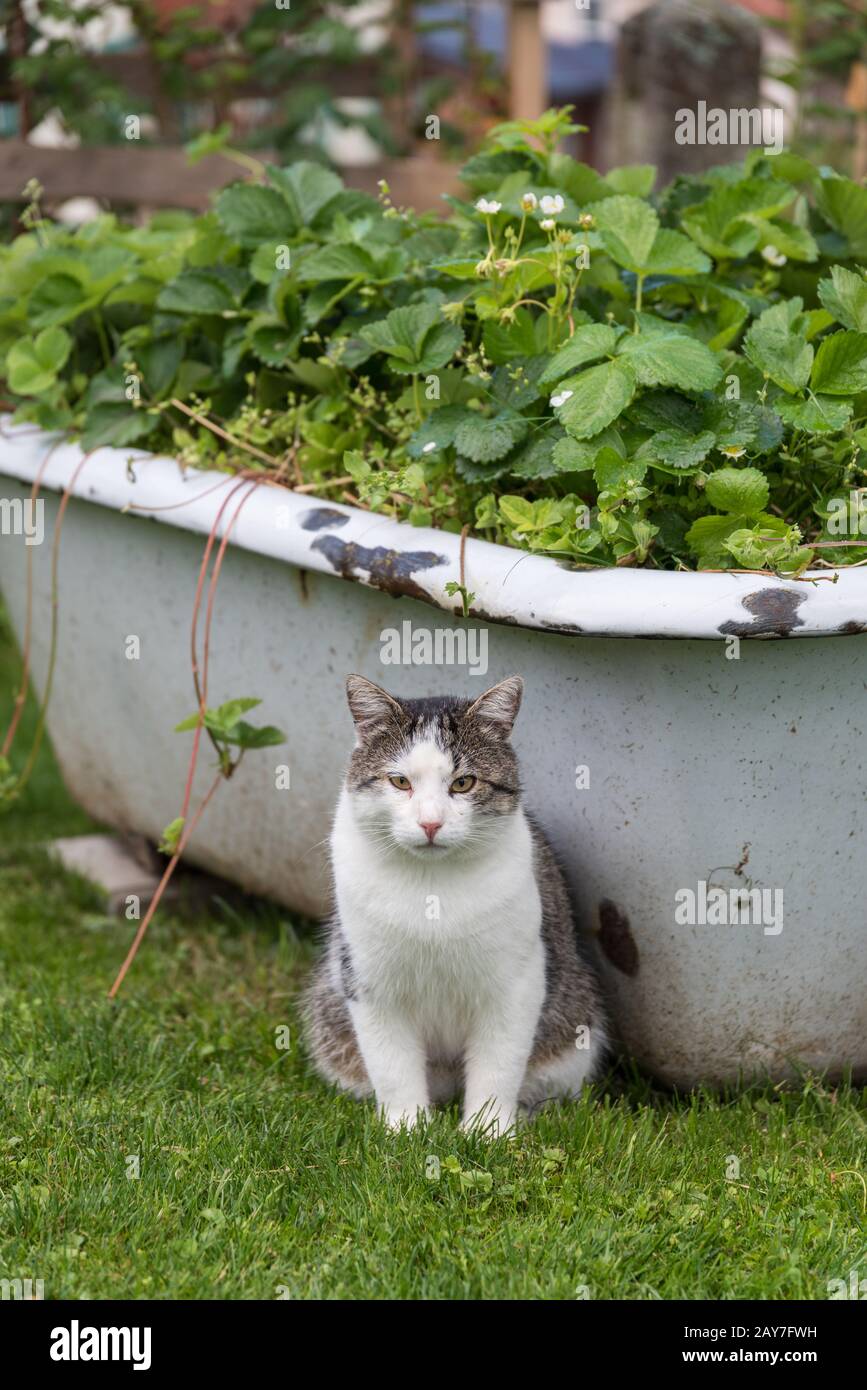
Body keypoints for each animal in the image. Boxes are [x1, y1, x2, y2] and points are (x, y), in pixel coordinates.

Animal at [304, 672, 608, 1139]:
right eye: (400, 782)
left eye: (463, 783)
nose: (430, 822)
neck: (432, 891)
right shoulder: (370, 982)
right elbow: (392, 1066)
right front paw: (407, 1128)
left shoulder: (516, 983)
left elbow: (499, 1065)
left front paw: (489, 1131)